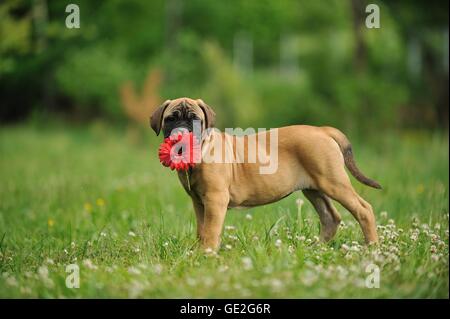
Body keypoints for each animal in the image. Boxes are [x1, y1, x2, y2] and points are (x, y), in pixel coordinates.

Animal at [150, 96, 380, 251]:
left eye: (195, 120)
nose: (181, 134)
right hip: (314, 189)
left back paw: (372, 247)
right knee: (330, 217)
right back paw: (315, 247)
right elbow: (202, 229)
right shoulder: (199, 201)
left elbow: (211, 229)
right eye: (170, 119)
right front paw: (200, 251)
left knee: (363, 209)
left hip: (333, 182)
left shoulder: (215, 199)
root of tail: (322, 130)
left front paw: (207, 253)